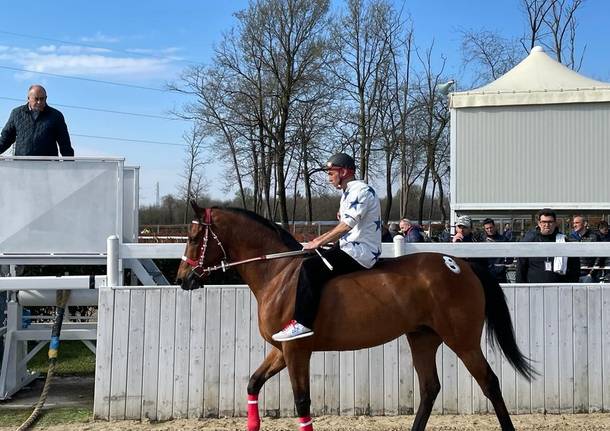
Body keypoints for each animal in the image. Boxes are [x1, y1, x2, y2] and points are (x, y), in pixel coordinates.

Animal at [176, 203, 532, 431]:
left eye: (193, 238)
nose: (182, 278)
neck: (279, 272)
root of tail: (462, 264)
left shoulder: (296, 350)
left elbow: (302, 402)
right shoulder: (281, 350)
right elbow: (253, 383)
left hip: (462, 340)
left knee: (490, 383)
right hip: (422, 337)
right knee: (430, 388)